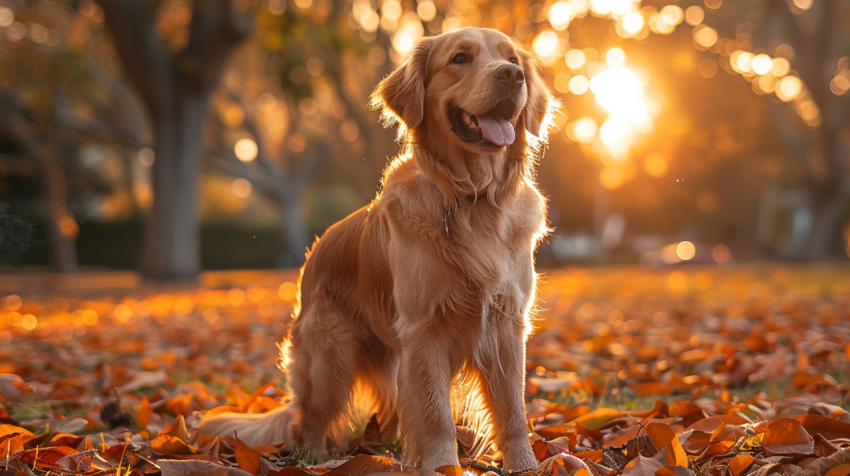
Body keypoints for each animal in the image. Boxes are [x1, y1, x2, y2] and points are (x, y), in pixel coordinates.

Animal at [199, 27, 556, 474]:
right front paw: (443, 466)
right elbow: (436, 414)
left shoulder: (506, 324)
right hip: (331, 360)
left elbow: (512, 410)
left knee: (390, 410)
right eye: (460, 58)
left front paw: (524, 465)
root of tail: (311, 256)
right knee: (306, 421)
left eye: (512, 59)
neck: (474, 199)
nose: (511, 76)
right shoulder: (424, 331)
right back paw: (314, 458)